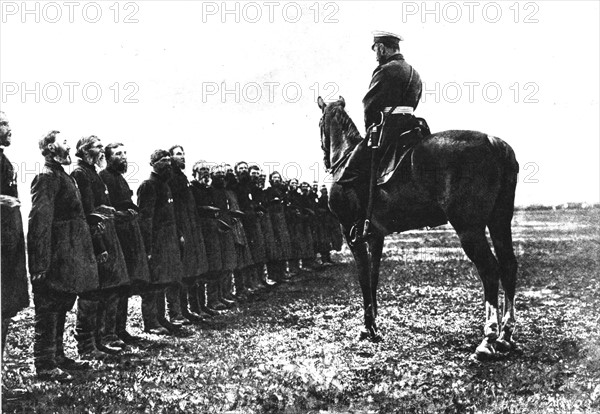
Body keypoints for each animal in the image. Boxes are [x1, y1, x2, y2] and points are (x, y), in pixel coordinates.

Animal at [318, 96, 520, 360]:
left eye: (319, 123)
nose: (325, 159)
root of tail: (494, 142)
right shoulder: (375, 236)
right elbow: (373, 276)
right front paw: (374, 324)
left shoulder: (352, 234)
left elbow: (363, 278)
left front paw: (368, 327)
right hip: (499, 222)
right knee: (508, 266)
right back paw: (506, 336)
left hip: (470, 229)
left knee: (489, 270)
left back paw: (487, 340)